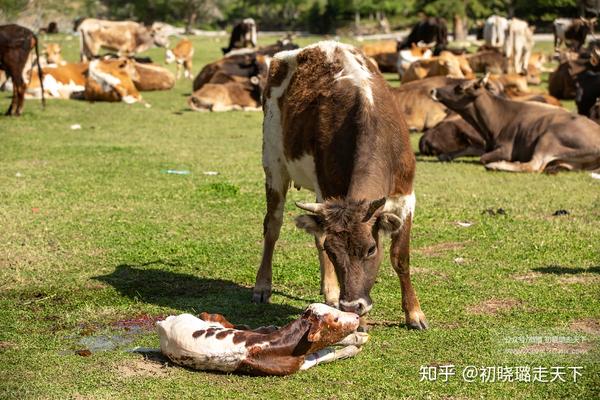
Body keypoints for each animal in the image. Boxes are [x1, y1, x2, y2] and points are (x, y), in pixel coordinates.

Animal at [157, 304, 368, 376]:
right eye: (335, 319)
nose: (357, 316)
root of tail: (164, 323)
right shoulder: (298, 365)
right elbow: (325, 353)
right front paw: (356, 343)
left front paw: (359, 337)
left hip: (208, 319)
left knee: (216, 316)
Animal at [253, 42, 426, 332]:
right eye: (335, 253)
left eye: (371, 249)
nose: (352, 306)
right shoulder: (329, 190)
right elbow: (321, 240)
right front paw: (360, 322)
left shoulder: (405, 197)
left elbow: (400, 257)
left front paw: (414, 313)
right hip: (274, 164)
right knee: (273, 227)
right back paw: (263, 285)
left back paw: (331, 292)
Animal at [432, 75, 600, 172]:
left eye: (459, 87)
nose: (434, 90)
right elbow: (469, 148)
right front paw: (446, 155)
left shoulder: (506, 149)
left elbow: (483, 157)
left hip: (548, 138)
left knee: (534, 166)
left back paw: (497, 165)